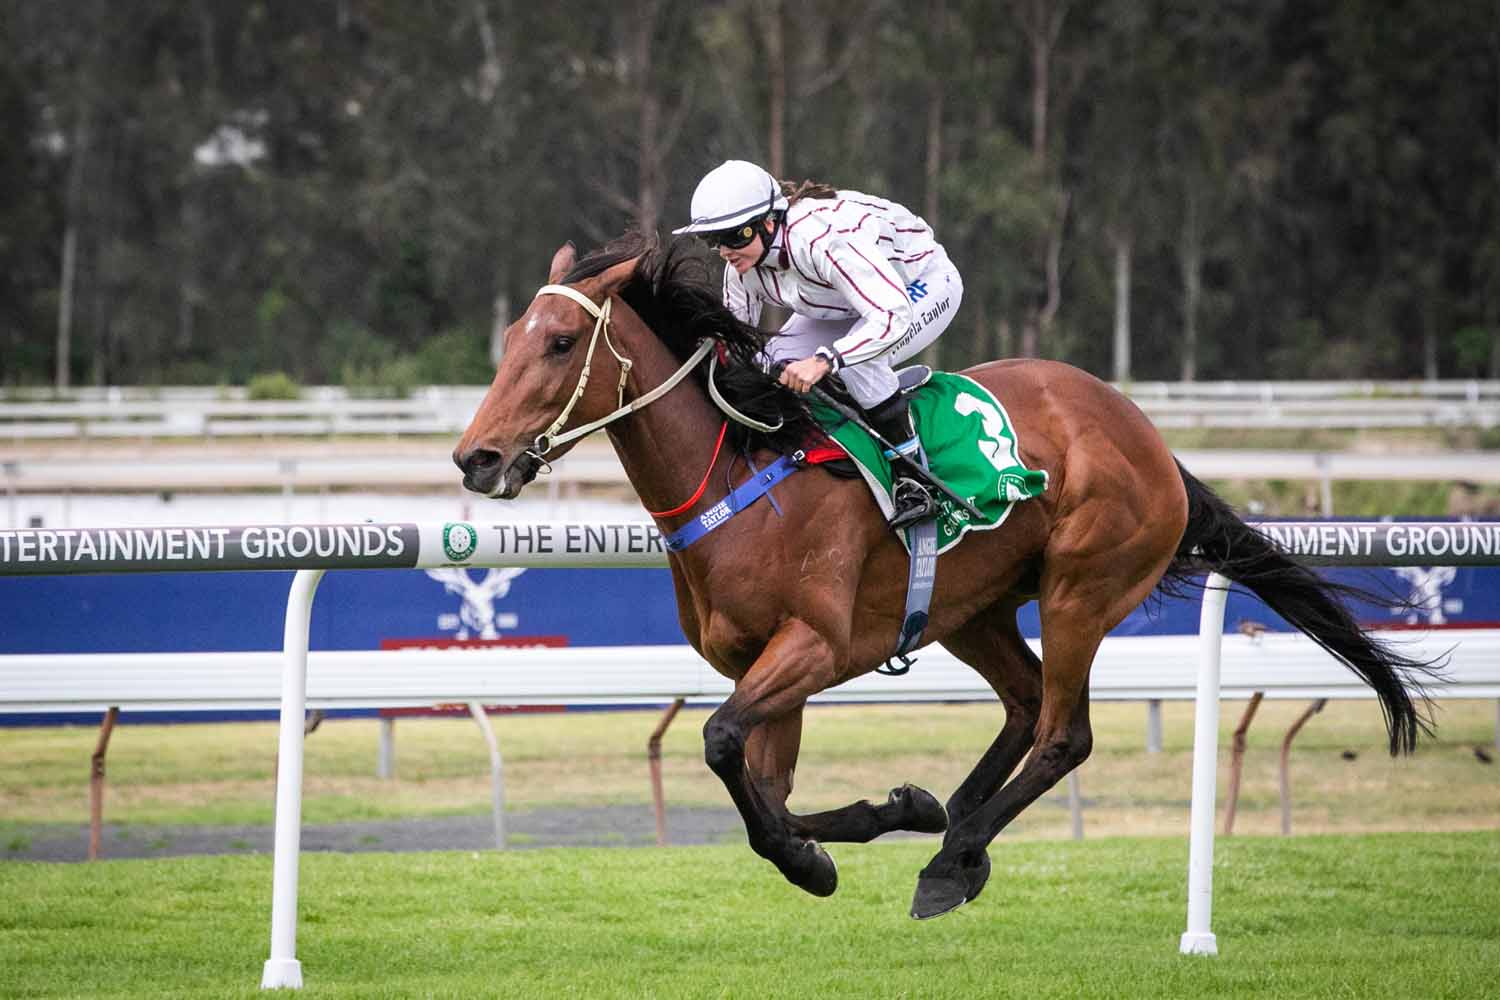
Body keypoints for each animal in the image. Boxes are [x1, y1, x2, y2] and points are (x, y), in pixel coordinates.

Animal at [453, 236, 1428, 923]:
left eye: (562, 342)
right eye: (507, 341)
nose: (476, 458)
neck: (739, 475)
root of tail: (1145, 433)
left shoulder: (816, 647)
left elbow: (725, 746)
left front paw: (822, 857)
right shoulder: (761, 666)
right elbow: (766, 791)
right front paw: (885, 814)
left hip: (1081, 587)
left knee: (1064, 734)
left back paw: (950, 863)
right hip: (973, 610)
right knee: (1026, 705)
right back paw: (957, 826)